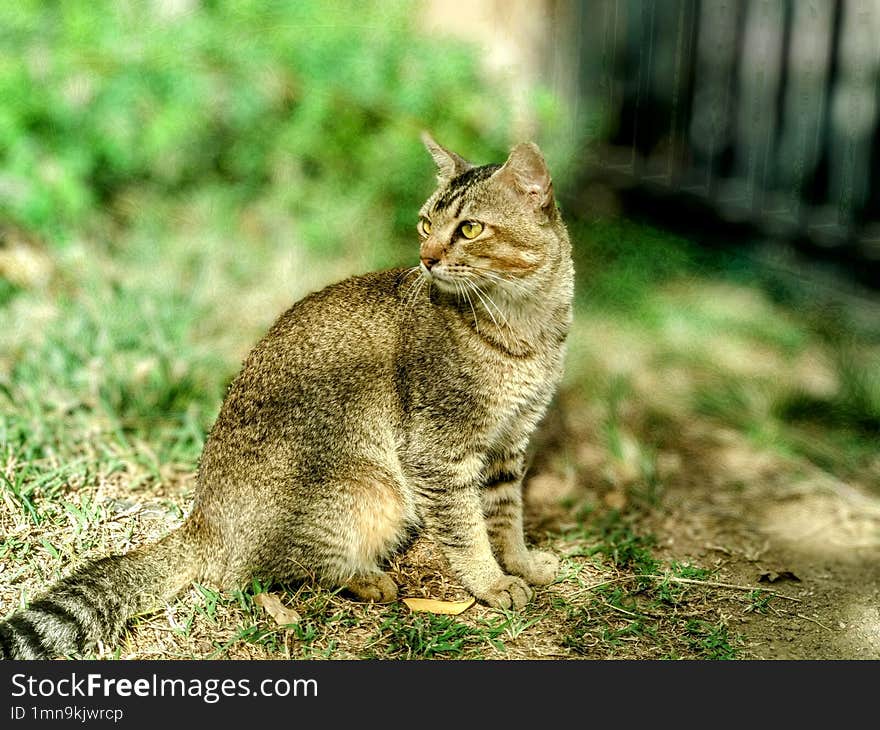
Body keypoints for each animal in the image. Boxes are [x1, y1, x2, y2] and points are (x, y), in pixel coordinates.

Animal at [0, 134, 576, 656]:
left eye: (470, 228)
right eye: (425, 224)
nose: (426, 257)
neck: (524, 327)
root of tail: (201, 524)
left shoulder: (509, 442)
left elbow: (505, 516)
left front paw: (522, 564)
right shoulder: (437, 450)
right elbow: (466, 530)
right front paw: (491, 582)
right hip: (372, 492)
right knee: (257, 574)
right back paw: (365, 578)